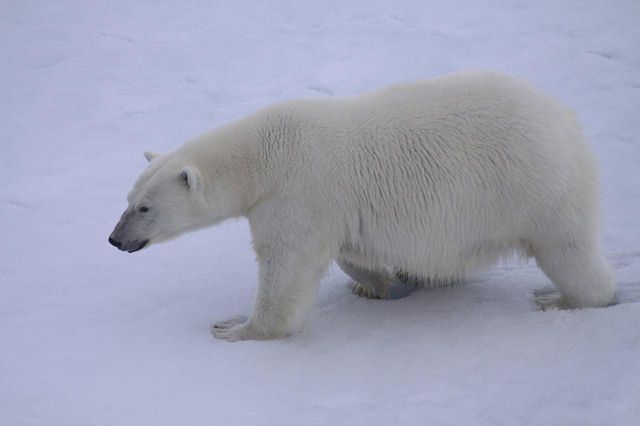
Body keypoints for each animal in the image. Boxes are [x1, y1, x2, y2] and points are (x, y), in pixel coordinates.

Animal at [109, 71, 616, 342]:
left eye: (145, 209)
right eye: (129, 200)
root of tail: (567, 120)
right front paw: (375, 285)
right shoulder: (333, 207)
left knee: (568, 252)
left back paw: (561, 299)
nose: (115, 239)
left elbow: (286, 265)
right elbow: (351, 252)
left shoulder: (297, 193)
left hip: (535, 187)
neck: (264, 156)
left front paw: (235, 329)